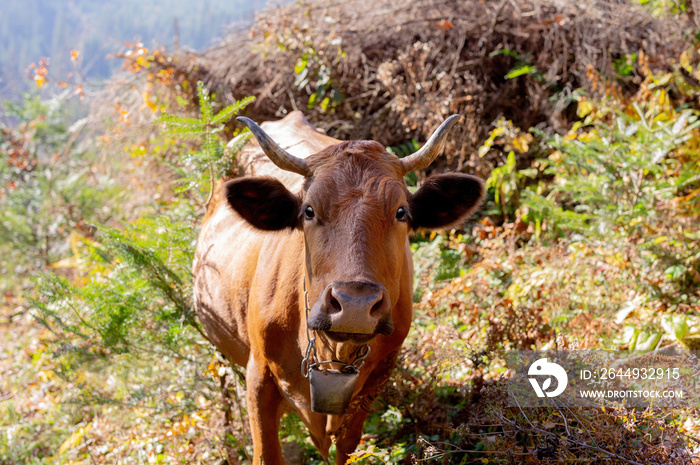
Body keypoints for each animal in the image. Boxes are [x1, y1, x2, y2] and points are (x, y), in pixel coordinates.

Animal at [194, 110, 484, 462]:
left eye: (401, 211)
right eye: (308, 210)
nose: (355, 305)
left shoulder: (375, 379)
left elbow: (346, 445)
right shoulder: (258, 376)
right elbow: (266, 452)